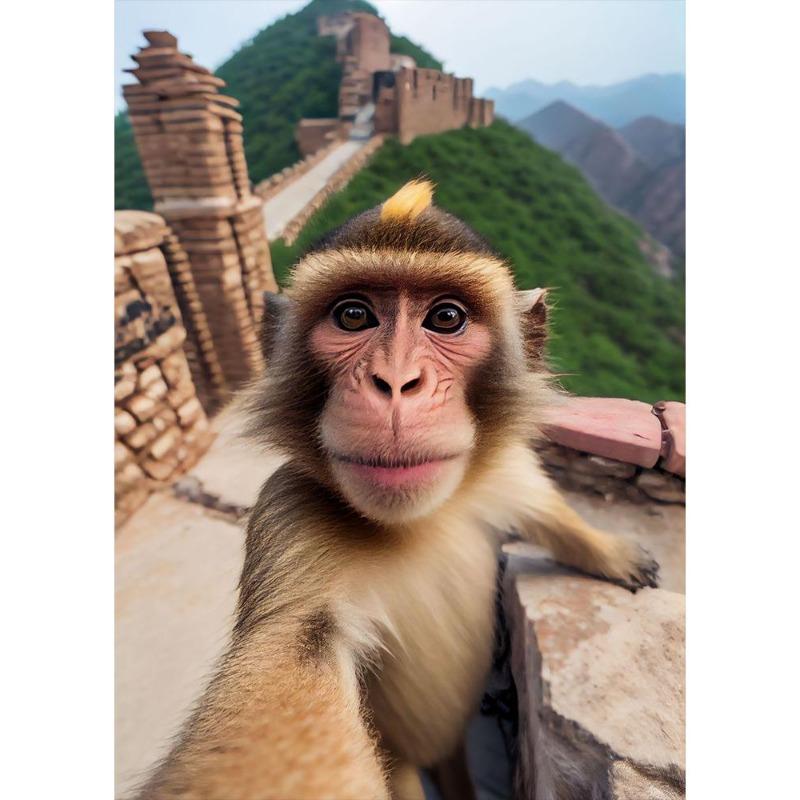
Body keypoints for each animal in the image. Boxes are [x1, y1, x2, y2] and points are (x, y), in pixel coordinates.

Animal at [137, 179, 659, 800]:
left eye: (447, 317)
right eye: (353, 315)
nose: (395, 381)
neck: (420, 521)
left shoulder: (500, 472)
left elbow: (545, 512)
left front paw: (610, 552)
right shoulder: (291, 518)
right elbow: (298, 648)